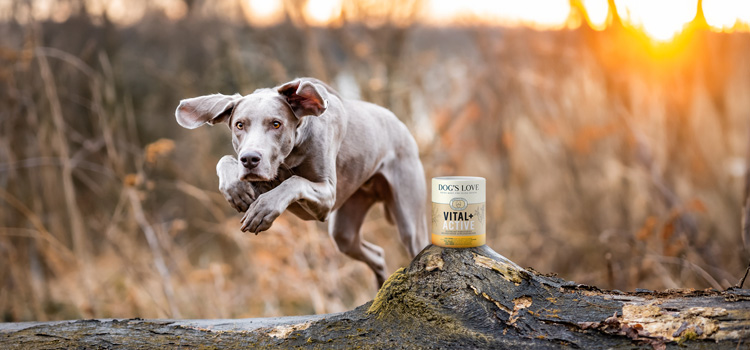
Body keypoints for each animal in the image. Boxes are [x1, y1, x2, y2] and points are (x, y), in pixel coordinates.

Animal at [176, 78, 428, 286]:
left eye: (276, 124)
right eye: (239, 125)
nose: (249, 159)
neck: (289, 156)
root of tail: (399, 122)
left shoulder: (326, 196)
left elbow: (295, 181)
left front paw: (263, 210)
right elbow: (225, 160)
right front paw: (236, 189)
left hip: (408, 216)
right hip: (345, 230)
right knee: (374, 253)